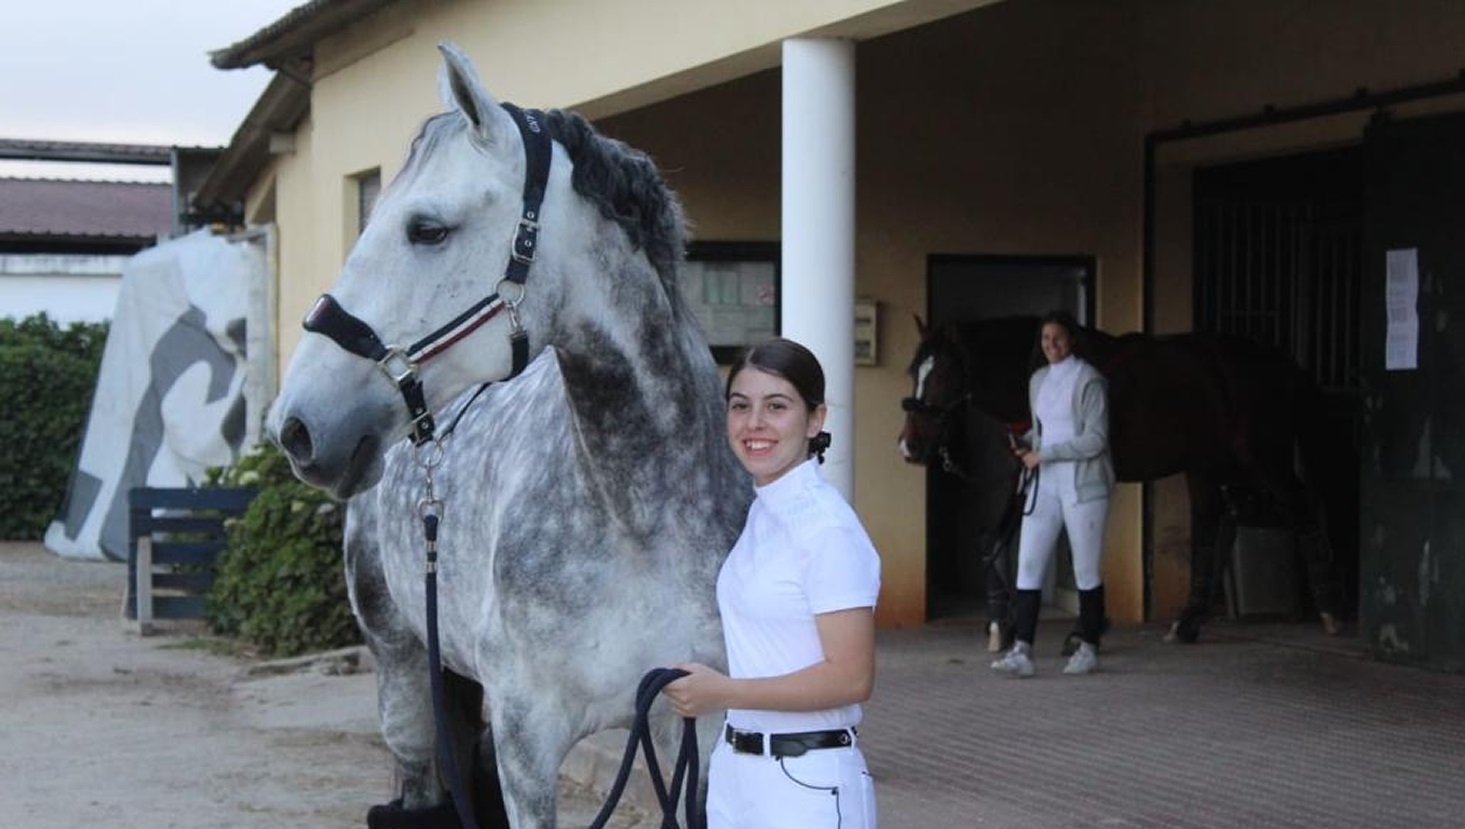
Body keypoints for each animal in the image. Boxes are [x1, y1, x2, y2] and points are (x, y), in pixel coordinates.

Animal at [265, 42, 750, 828]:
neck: (641, 517)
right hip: (402, 670)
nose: (296, 426)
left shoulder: (702, 723)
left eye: (427, 228)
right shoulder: (529, 742)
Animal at [898, 315, 1346, 646]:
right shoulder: (1031, 471)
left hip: (1263, 457)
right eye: (914, 371)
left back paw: (1330, 610)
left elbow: (1079, 544)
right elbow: (995, 539)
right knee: (1209, 523)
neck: (1043, 372)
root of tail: (1281, 363)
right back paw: (1187, 621)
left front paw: (1084, 629)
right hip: (1203, 465)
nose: (909, 447)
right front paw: (1001, 623)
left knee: (1300, 504)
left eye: (943, 375)